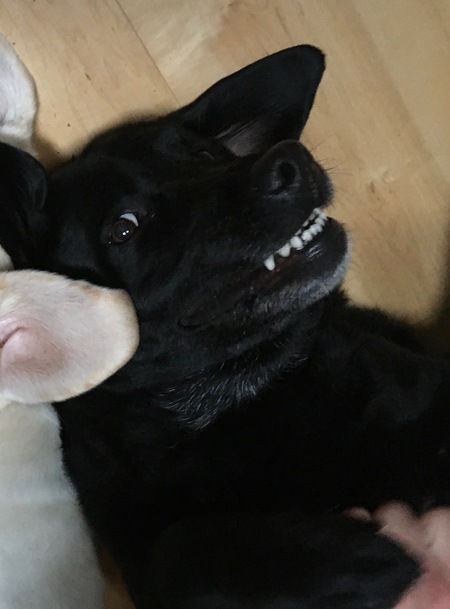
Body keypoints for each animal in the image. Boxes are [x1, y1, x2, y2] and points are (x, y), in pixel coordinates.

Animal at [10, 46, 450, 608]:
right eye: (123, 229)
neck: (236, 398)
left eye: (205, 155)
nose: (289, 164)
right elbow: (177, 548)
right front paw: (357, 557)